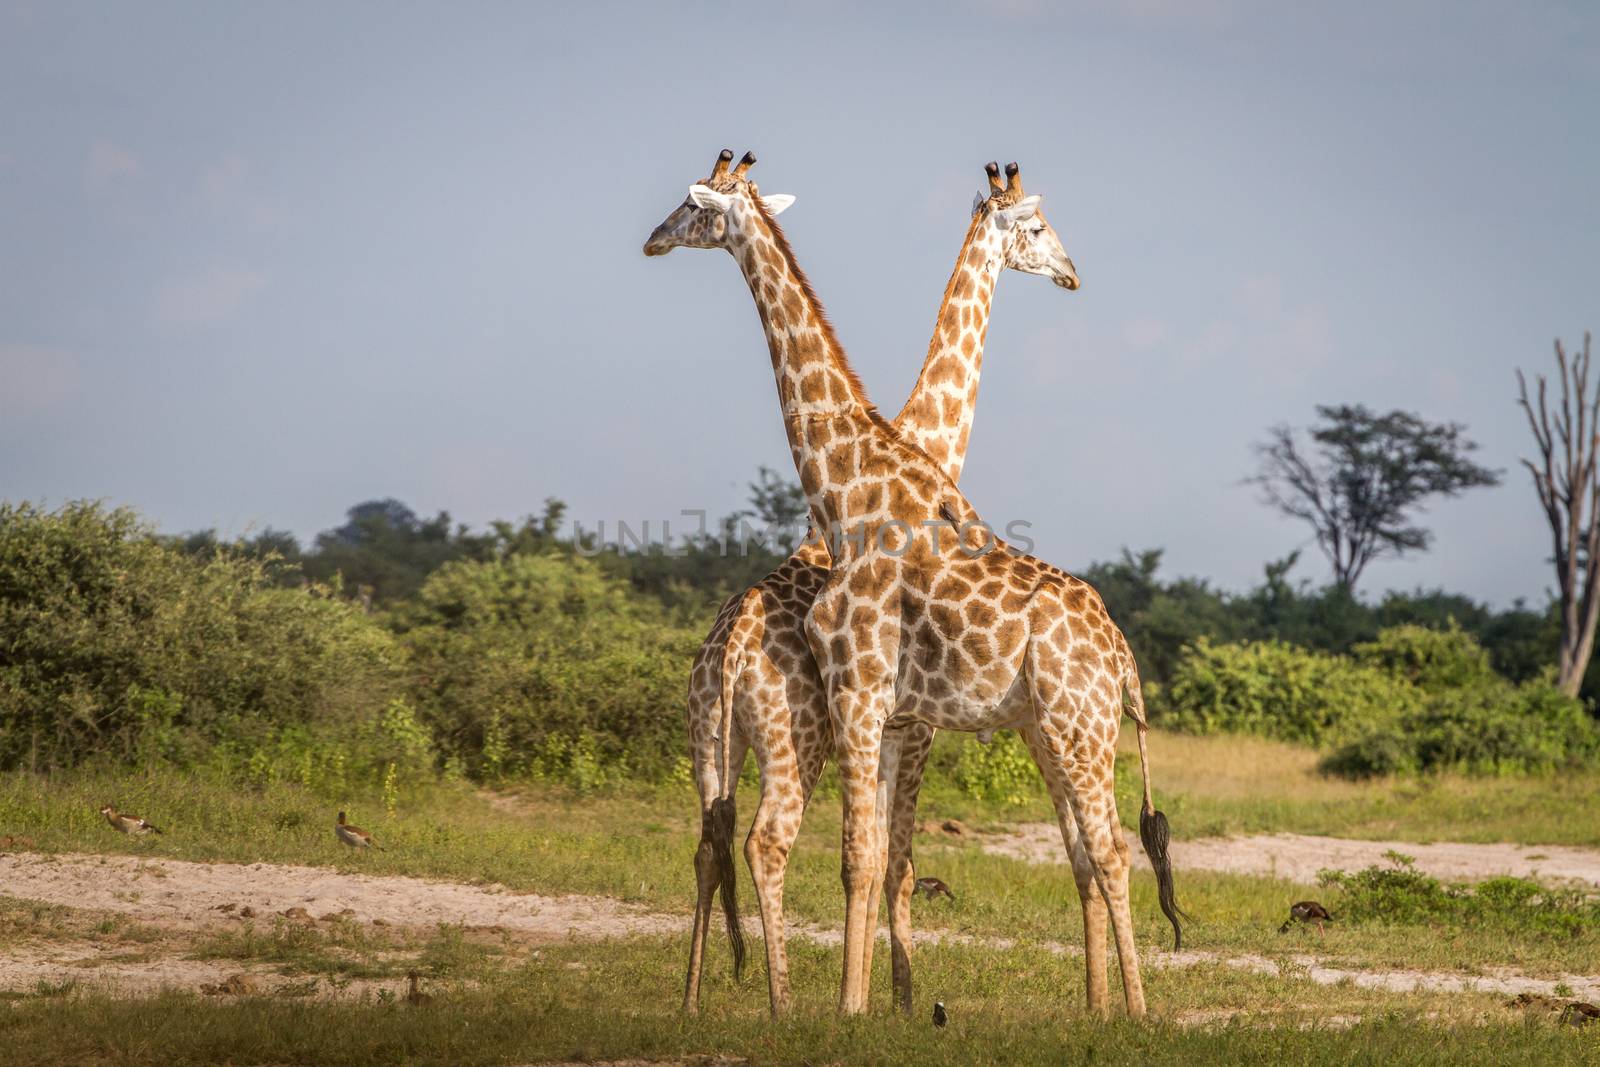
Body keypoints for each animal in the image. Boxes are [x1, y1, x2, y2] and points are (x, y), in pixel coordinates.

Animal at [643, 150, 1184, 1017]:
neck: (854, 482)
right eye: (1039, 226)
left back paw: (1127, 1012)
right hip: (734, 736)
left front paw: (870, 1003)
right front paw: (876, 1001)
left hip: (1054, 729)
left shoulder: (884, 709)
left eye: (691, 209)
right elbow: (870, 859)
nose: (1072, 272)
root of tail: (1123, 656)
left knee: (1104, 849)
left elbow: (875, 860)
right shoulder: (881, 710)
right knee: (727, 842)